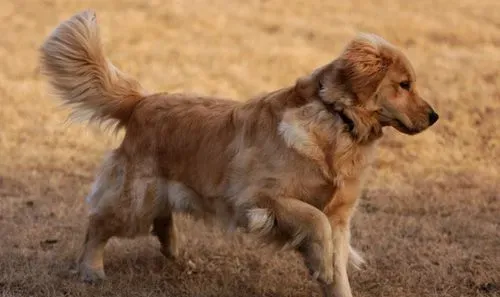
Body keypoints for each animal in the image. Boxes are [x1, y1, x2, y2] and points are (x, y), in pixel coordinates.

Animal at [39, 9, 438, 296]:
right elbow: (314, 221)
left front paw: (328, 274)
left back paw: (175, 254)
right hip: (134, 199)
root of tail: (142, 101)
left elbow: (336, 262)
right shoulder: (260, 198)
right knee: (98, 223)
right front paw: (321, 264)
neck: (336, 119)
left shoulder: (341, 217)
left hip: (157, 191)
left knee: (162, 218)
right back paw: (91, 269)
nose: (435, 116)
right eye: (404, 85)